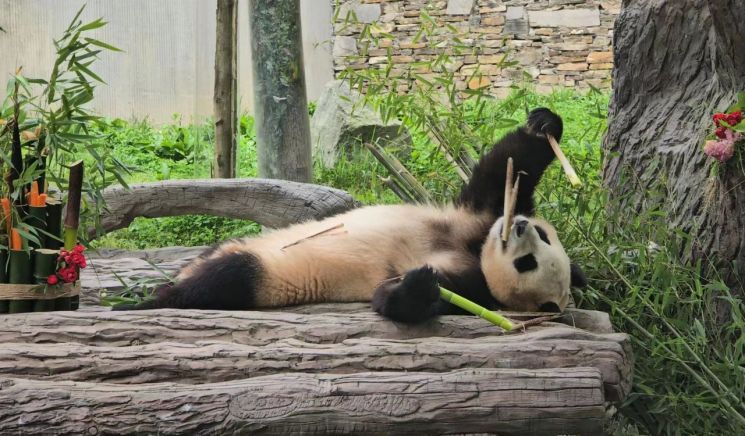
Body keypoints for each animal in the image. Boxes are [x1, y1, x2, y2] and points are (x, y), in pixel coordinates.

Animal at [113, 107, 584, 322]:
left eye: (529, 262)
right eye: (542, 236)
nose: (517, 226)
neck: (474, 248)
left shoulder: (475, 280)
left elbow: (410, 298)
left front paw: (417, 284)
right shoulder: (477, 218)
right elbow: (505, 171)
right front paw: (544, 125)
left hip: (266, 276)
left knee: (226, 279)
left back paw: (151, 298)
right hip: (238, 241)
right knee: (215, 261)